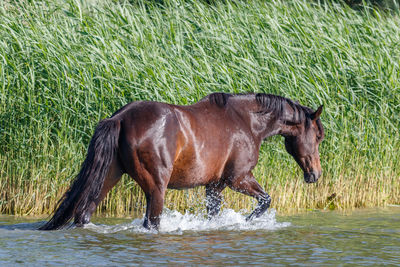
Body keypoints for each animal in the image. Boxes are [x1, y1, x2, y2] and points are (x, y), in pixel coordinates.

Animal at [38, 92, 324, 230]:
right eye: (319, 136)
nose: (316, 174)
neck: (246, 123)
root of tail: (119, 118)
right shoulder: (238, 178)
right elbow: (266, 201)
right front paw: (244, 222)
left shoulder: (214, 186)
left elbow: (214, 215)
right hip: (156, 187)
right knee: (152, 222)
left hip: (109, 176)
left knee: (84, 213)